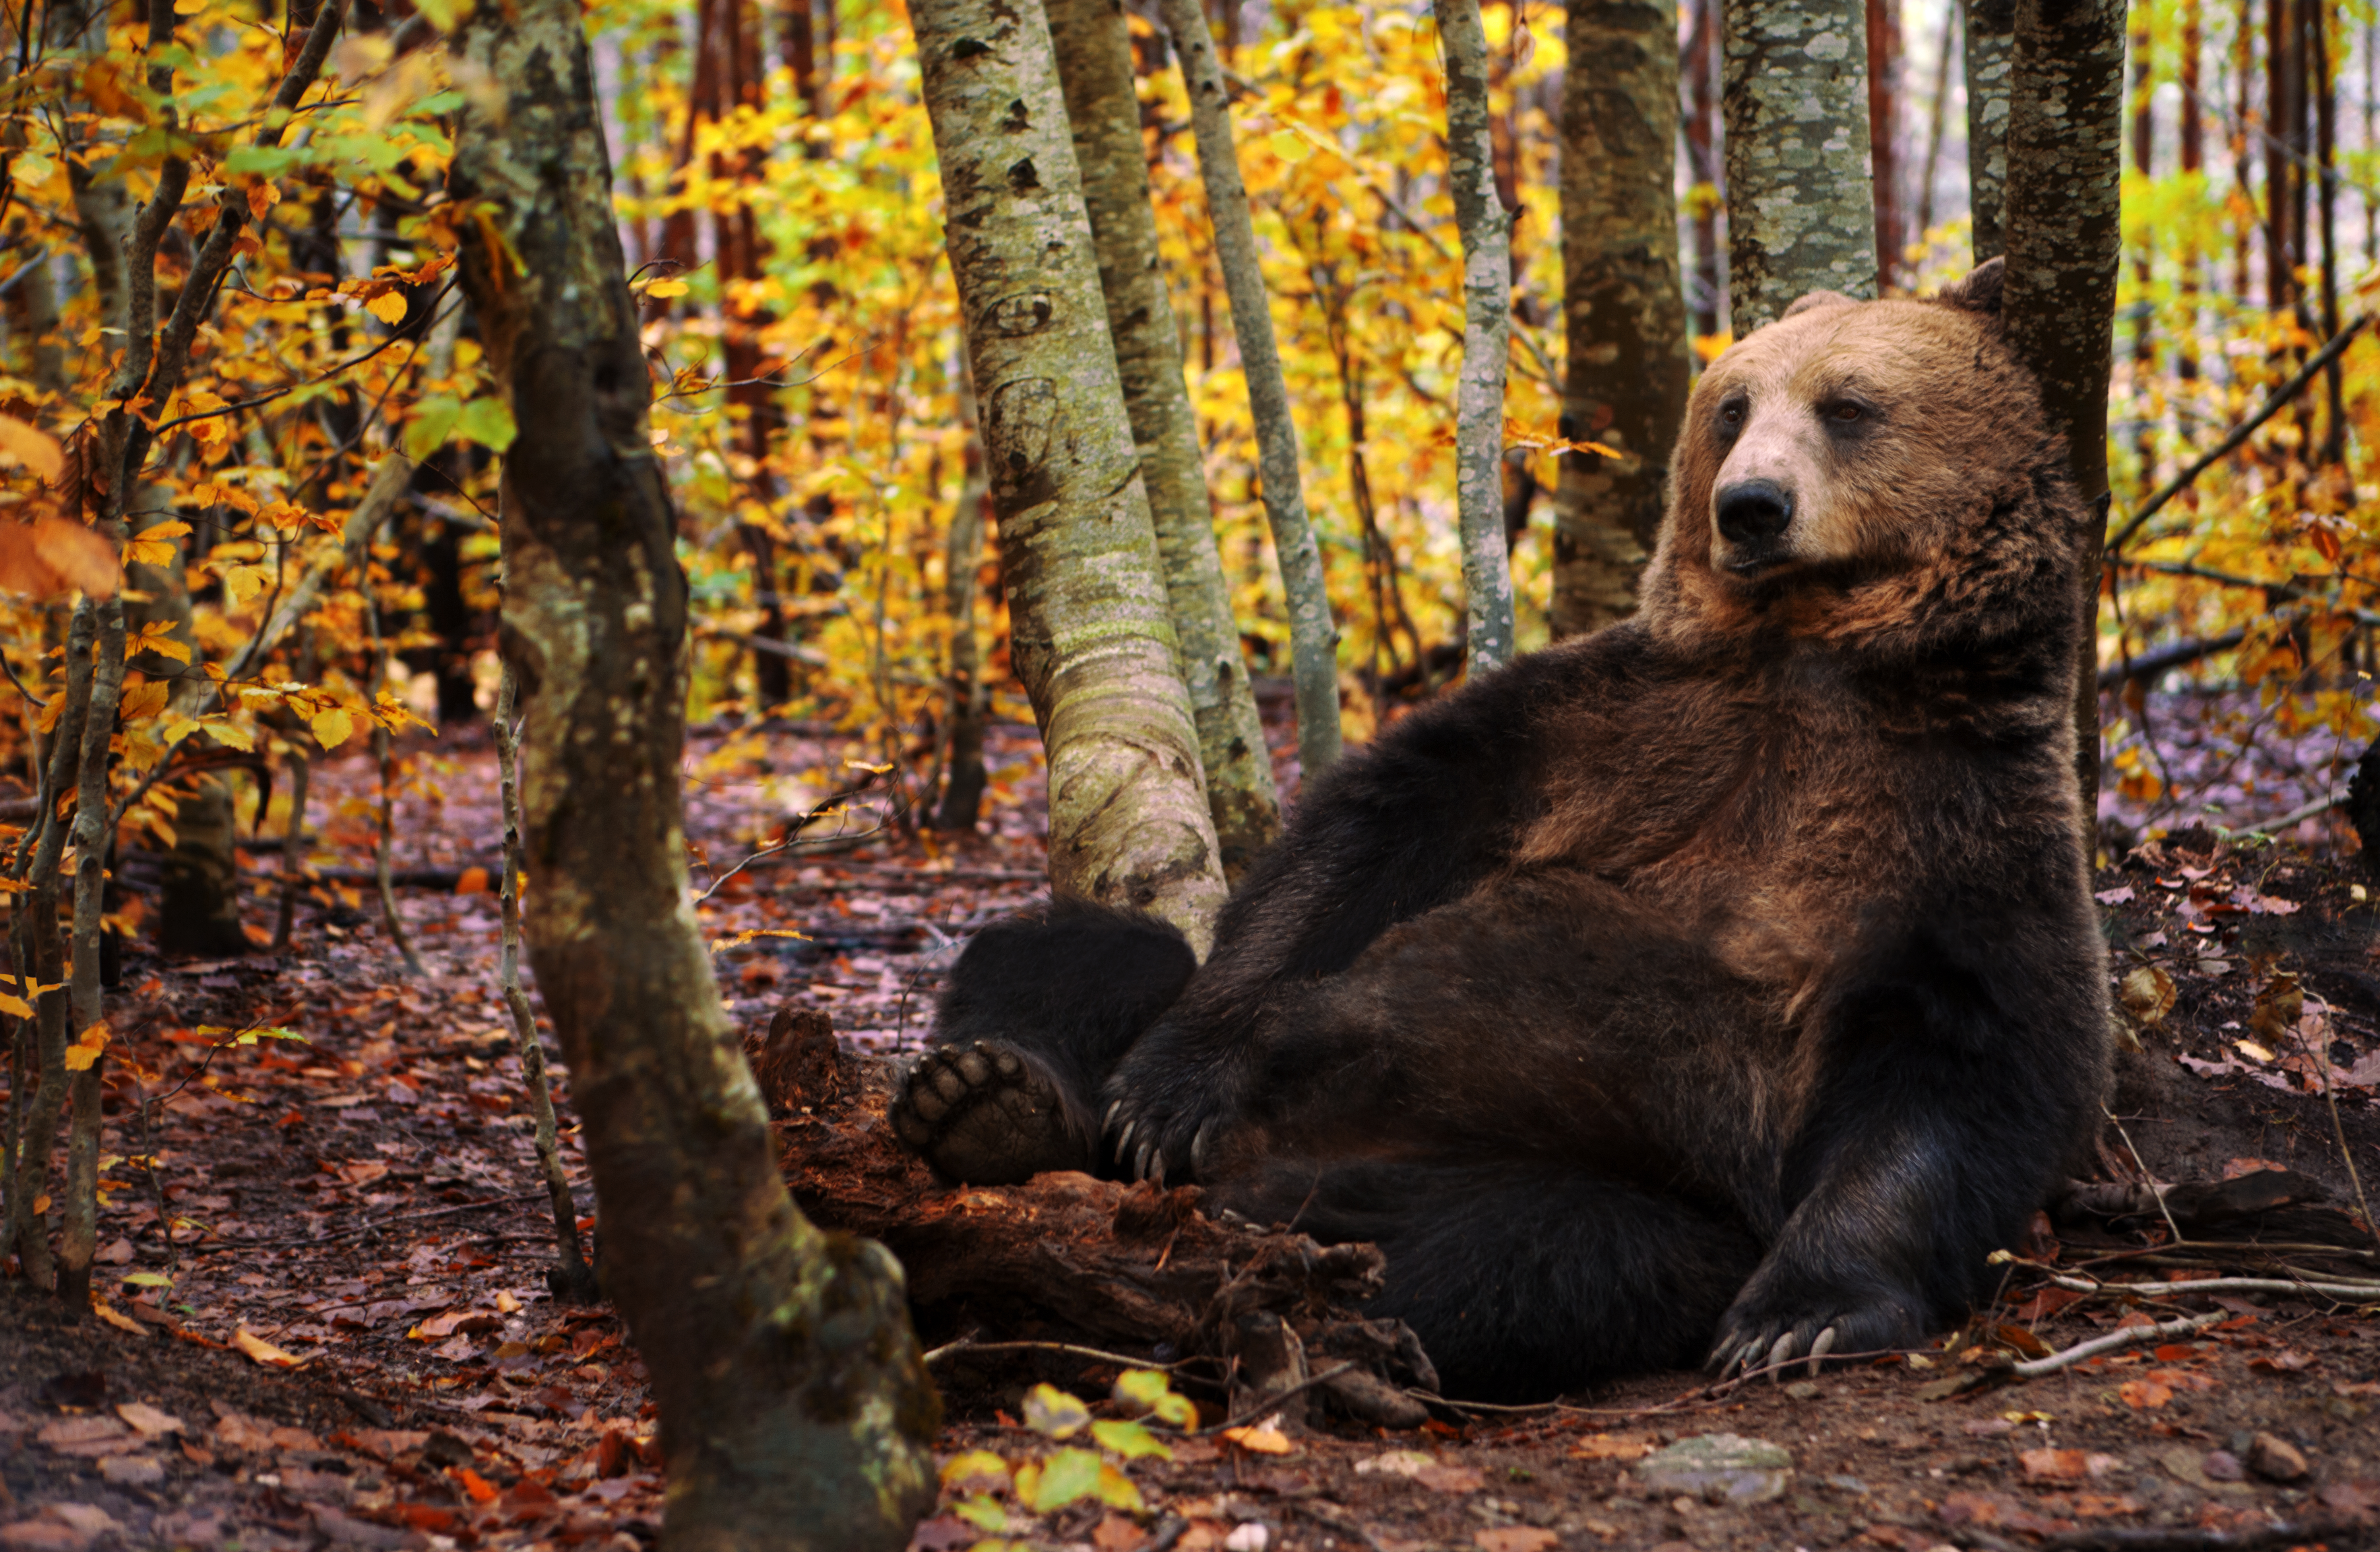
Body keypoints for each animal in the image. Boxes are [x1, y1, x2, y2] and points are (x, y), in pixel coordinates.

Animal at [890, 264, 2104, 1409]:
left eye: (1847, 405)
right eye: (1732, 405)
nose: (1750, 506)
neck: (1809, 655)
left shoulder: (1953, 815)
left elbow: (1964, 1060)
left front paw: (1800, 1315)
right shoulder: (1617, 727)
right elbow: (1366, 841)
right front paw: (1159, 1098)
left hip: (1573, 1172)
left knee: (1532, 1252)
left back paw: (1300, 1306)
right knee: (1089, 949)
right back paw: (995, 1101)